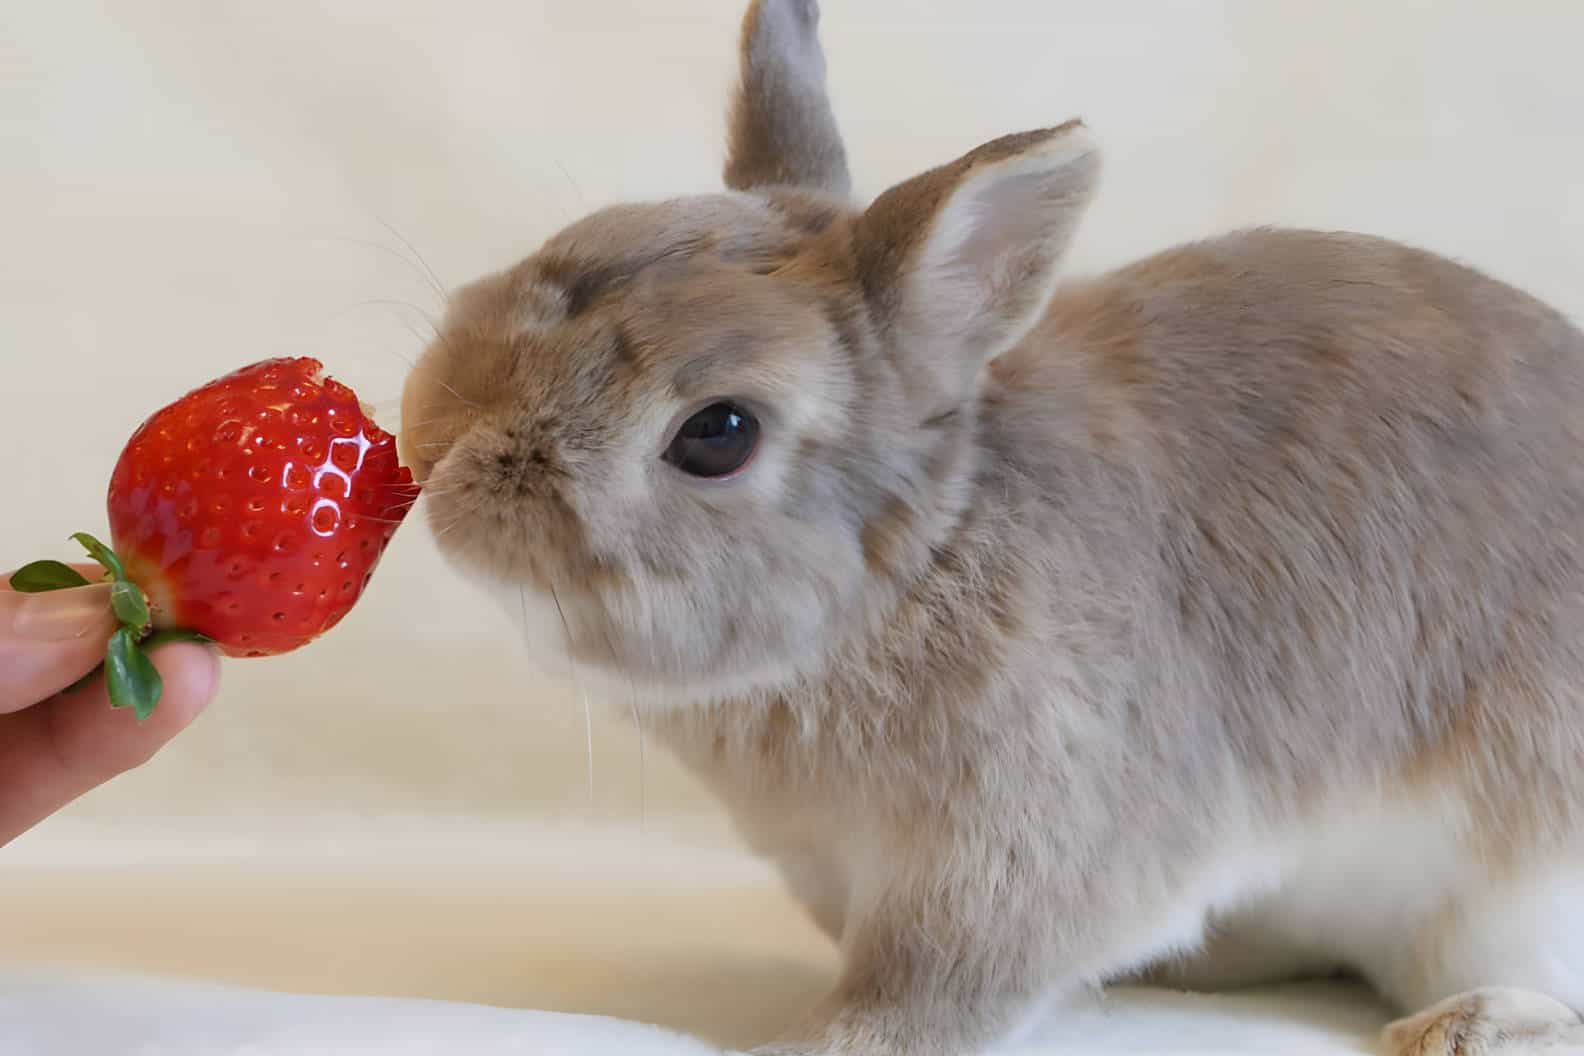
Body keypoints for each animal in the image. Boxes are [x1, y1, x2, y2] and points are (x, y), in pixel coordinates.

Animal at [392, 2, 1584, 1056]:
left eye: (718, 434)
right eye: (574, 240)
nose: (435, 447)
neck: (919, 562)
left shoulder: (1015, 844)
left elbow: (936, 978)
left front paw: (823, 1042)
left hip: (1522, 888)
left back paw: (1470, 1025)